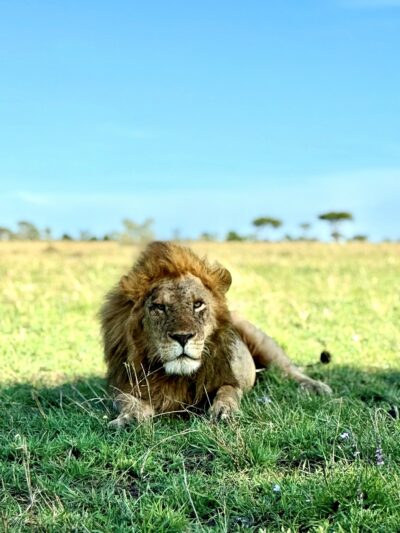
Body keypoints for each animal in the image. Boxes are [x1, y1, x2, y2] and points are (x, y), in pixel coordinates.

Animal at [101, 241, 332, 428]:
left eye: (198, 304)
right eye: (159, 307)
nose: (183, 337)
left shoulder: (227, 378)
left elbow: (228, 392)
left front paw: (224, 412)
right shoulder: (123, 386)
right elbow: (128, 402)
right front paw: (129, 418)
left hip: (264, 345)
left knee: (290, 370)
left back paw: (317, 387)